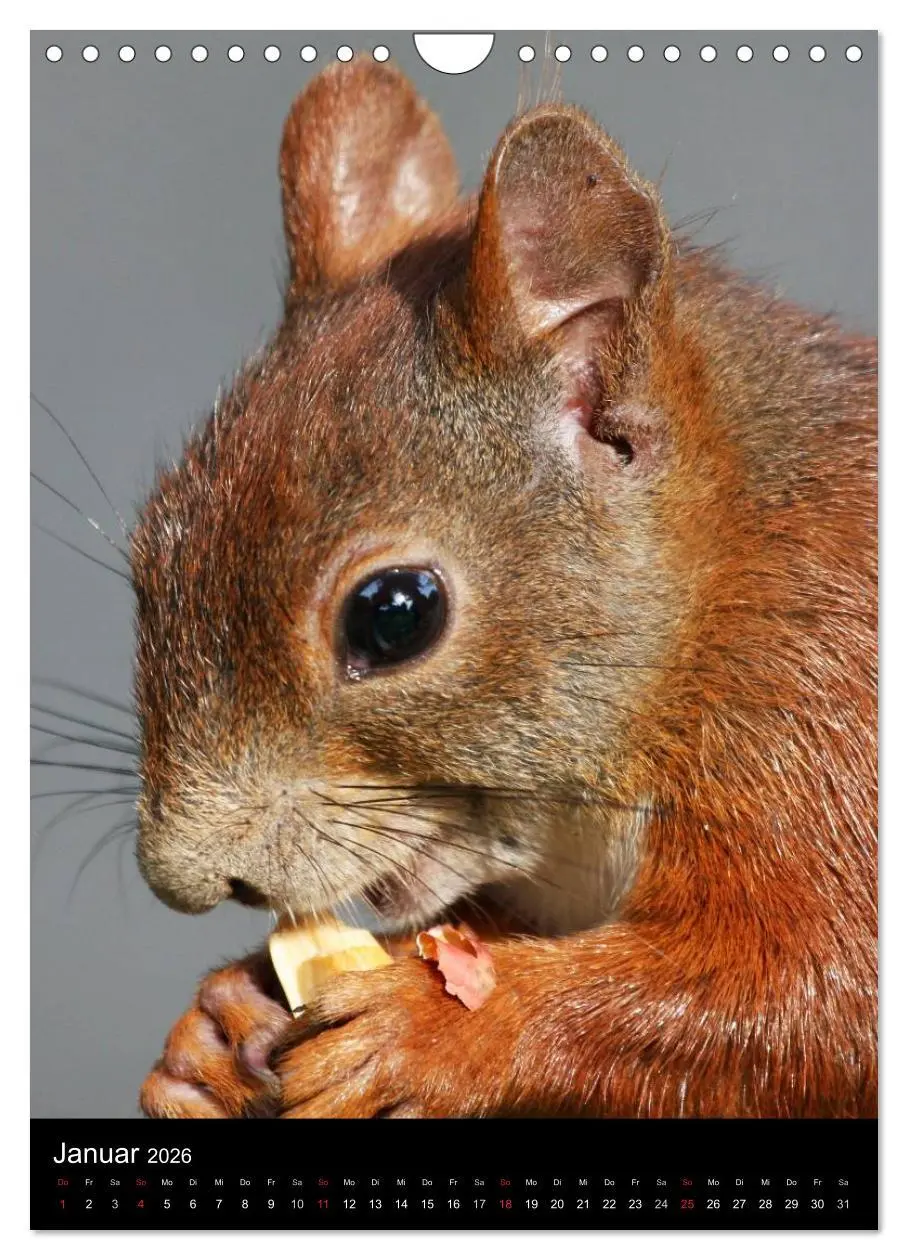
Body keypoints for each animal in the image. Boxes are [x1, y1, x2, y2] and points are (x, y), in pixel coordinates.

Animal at [136, 60, 876, 1120]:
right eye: (151, 548)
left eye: (395, 616)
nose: (193, 880)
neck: (716, 585)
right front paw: (214, 1028)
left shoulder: (822, 720)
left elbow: (810, 991)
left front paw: (436, 1032)